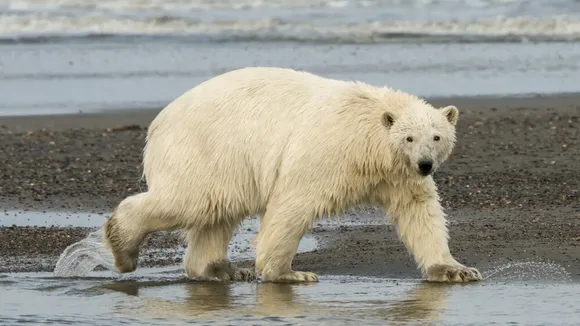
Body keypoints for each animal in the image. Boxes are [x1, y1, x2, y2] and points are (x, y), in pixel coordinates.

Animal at [103, 66, 480, 282]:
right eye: (409, 137)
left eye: (437, 136)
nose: (425, 164)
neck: (367, 142)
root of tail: (158, 122)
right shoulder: (329, 151)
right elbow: (294, 202)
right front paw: (288, 273)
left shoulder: (397, 174)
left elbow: (419, 211)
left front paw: (455, 269)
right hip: (206, 149)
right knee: (189, 200)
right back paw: (122, 246)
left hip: (224, 164)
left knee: (217, 211)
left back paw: (222, 269)